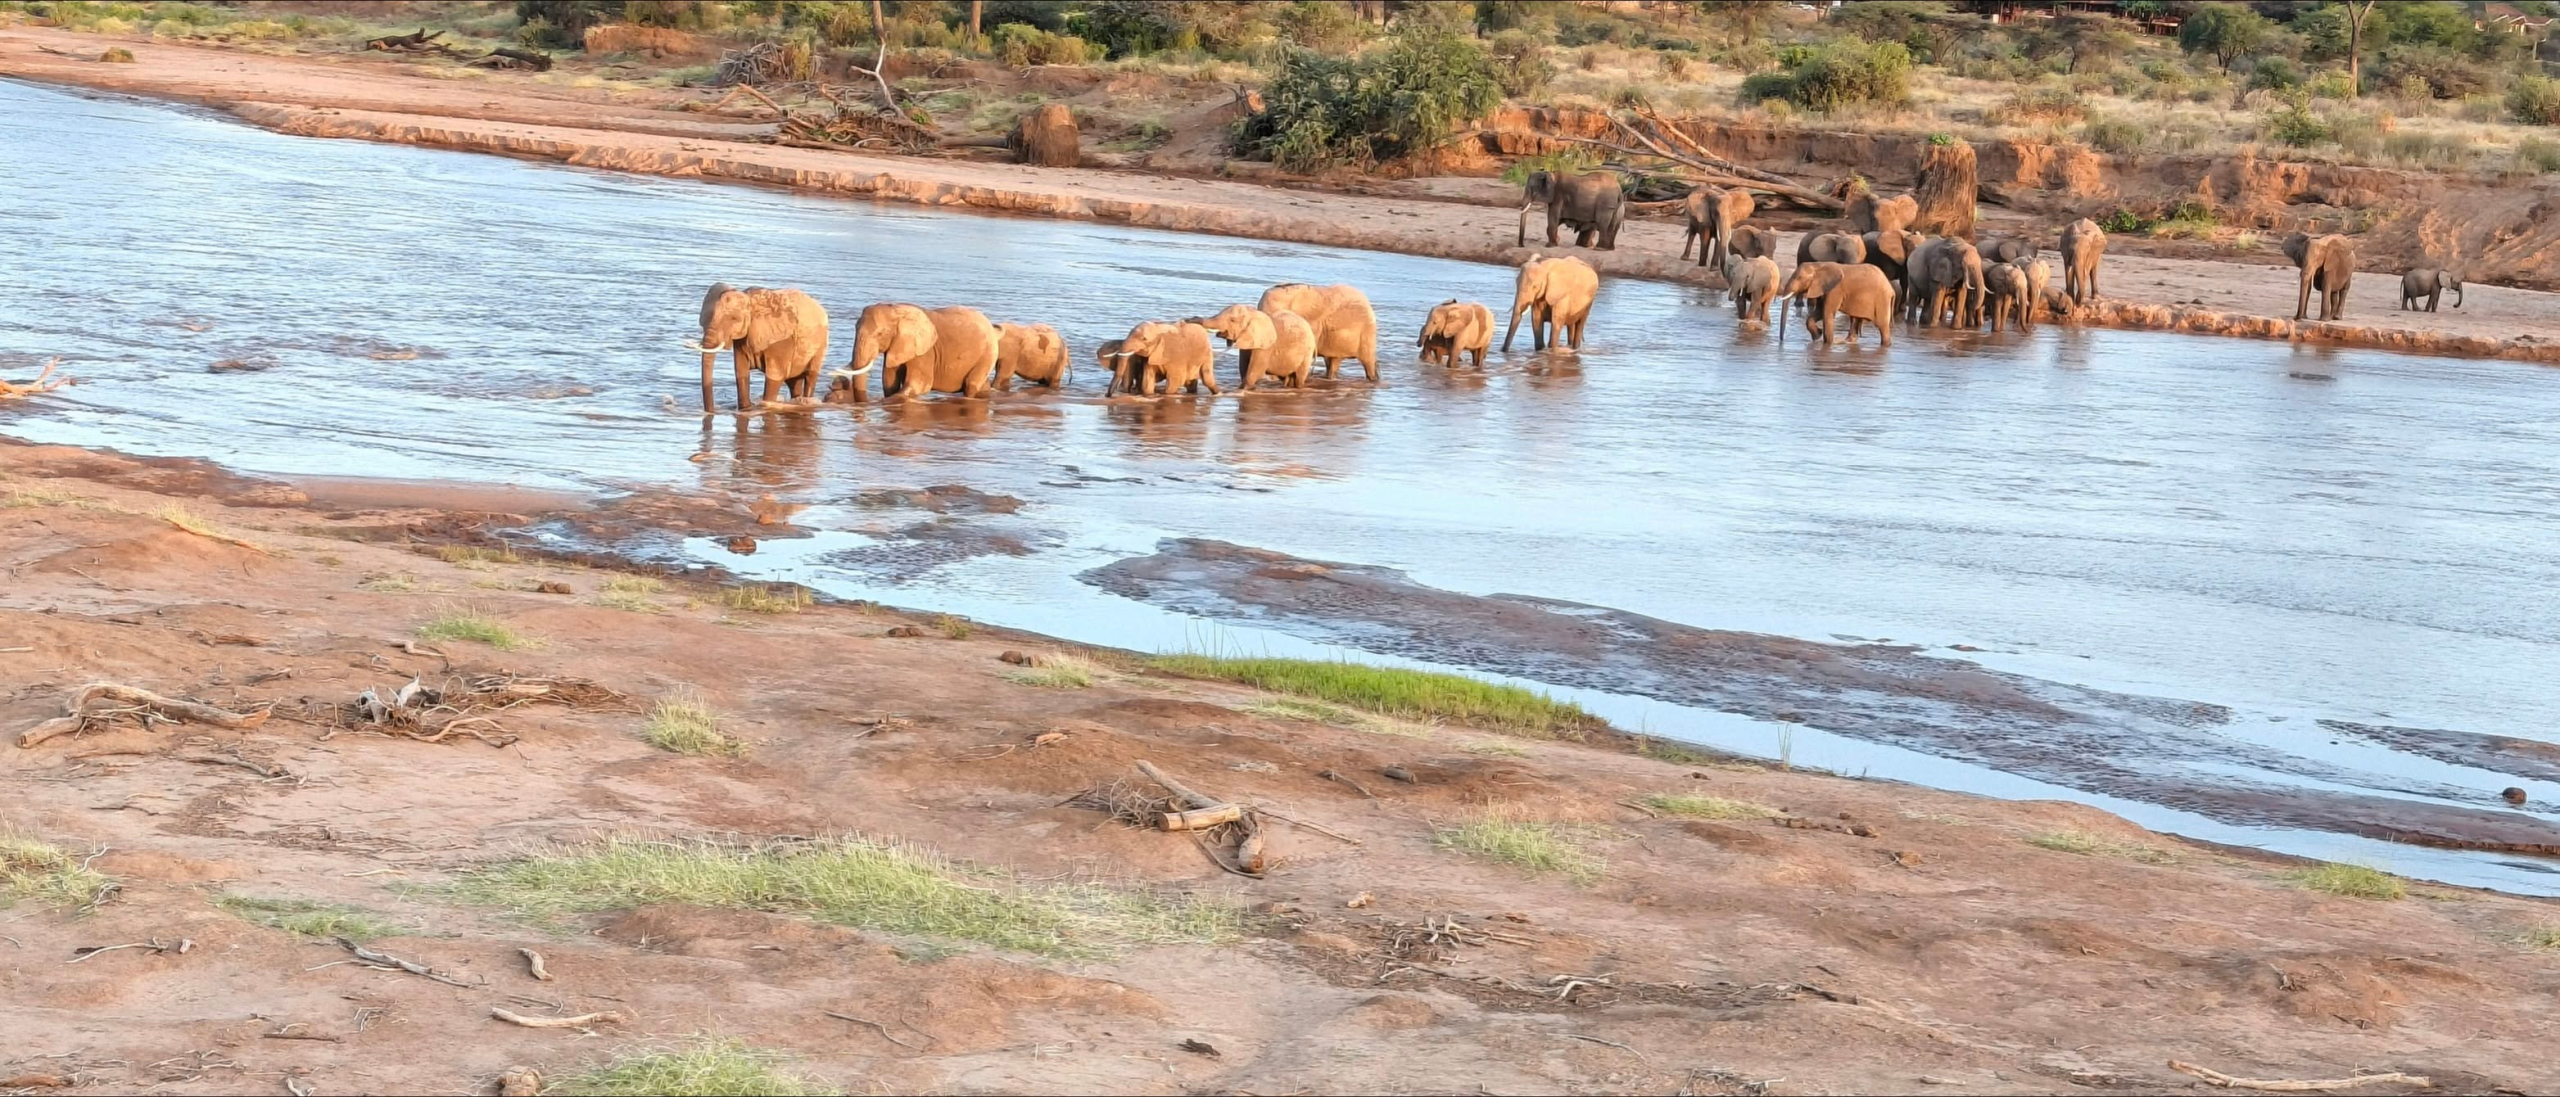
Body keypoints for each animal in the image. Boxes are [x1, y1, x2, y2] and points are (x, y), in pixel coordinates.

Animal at [693, 283, 829, 413]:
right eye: (709, 316)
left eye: (734, 318)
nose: (712, 411)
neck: (749, 300)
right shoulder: (743, 338)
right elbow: (741, 372)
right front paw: (746, 409)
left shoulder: (782, 339)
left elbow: (774, 377)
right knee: (793, 382)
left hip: (821, 345)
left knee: (810, 376)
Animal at [830, 303, 997, 401]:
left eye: (881, 334)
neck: (895, 309)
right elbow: (889, 381)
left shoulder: (925, 350)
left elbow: (919, 384)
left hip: (987, 354)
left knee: (971, 385)